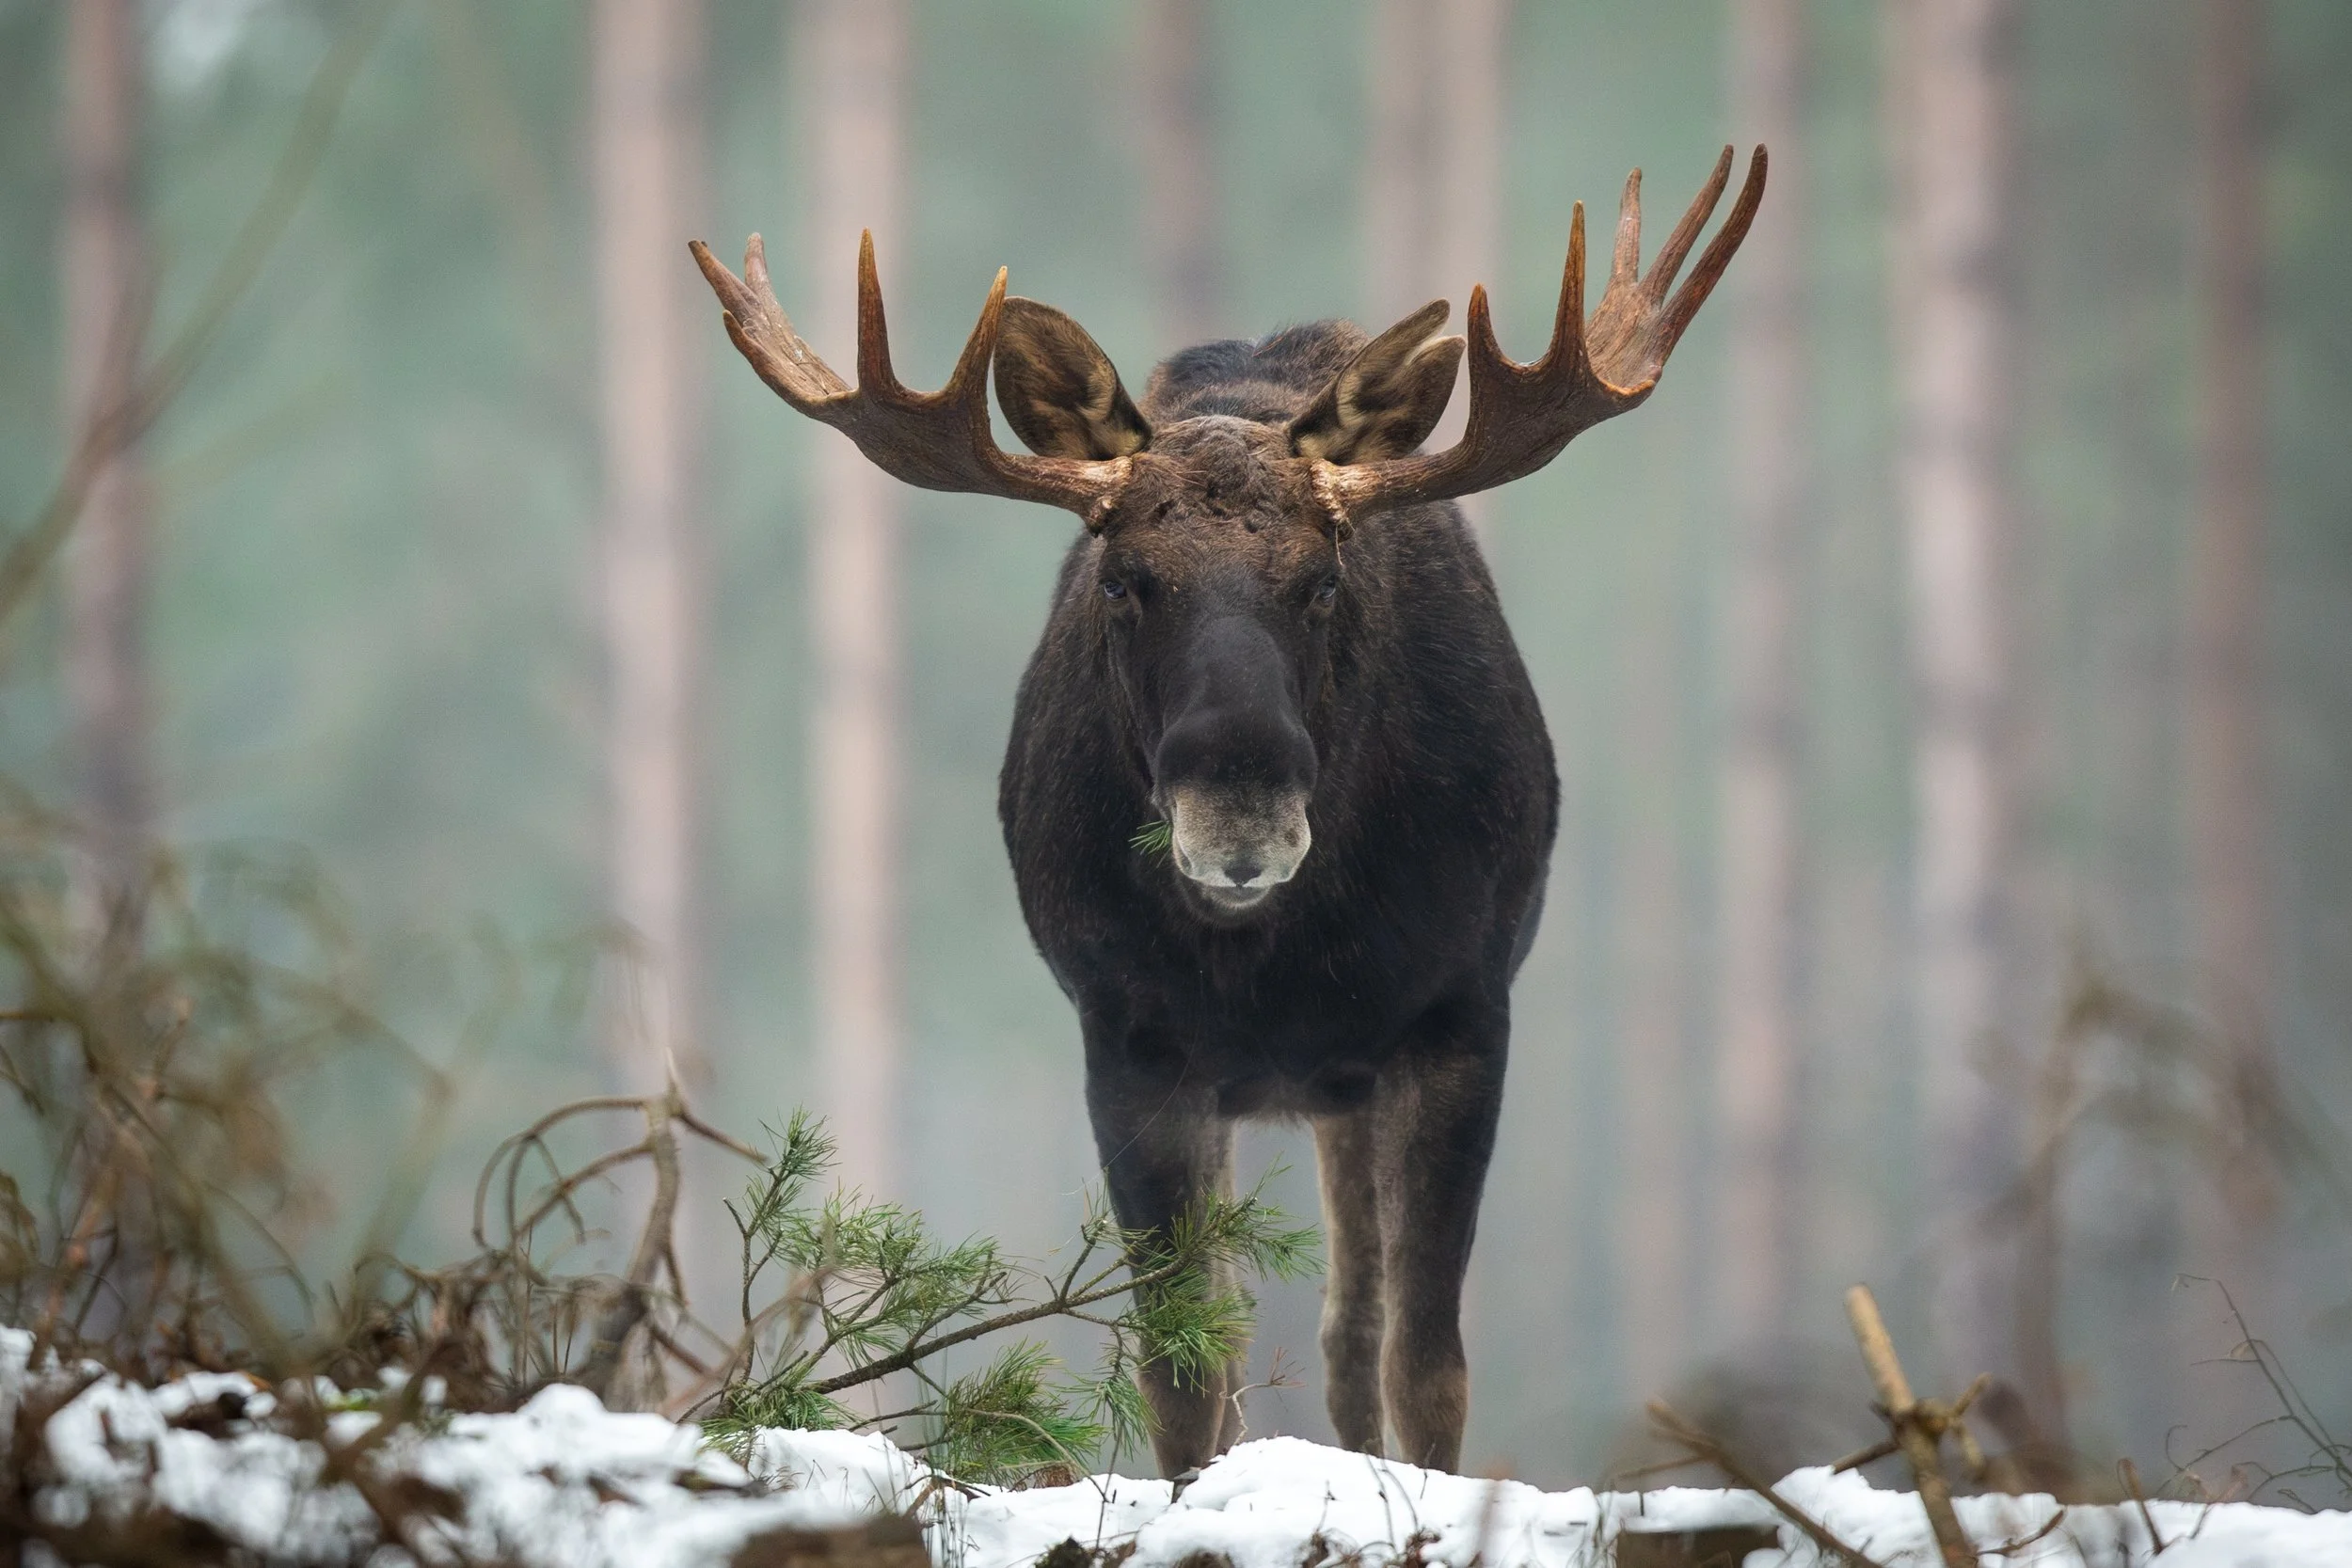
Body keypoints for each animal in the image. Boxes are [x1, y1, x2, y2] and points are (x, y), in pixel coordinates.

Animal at [692, 145, 1765, 1477]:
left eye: (1324, 577)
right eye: (1122, 580)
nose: (1238, 814)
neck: (1279, 958)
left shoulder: (1461, 1012)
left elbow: (1427, 1363)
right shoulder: (1129, 1033)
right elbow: (1182, 1366)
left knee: (1352, 1329)